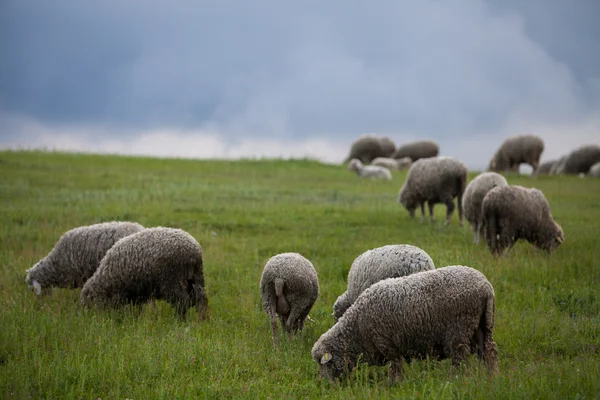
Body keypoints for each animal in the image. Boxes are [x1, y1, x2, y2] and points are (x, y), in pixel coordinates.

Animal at [80, 227, 209, 320]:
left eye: (90, 303)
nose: (88, 318)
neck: (107, 277)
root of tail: (194, 249)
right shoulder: (135, 292)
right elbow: (136, 307)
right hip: (196, 276)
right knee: (201, 299)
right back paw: (202, 319)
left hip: (172, 281)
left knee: (182, 302)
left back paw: (179, 320)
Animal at [312, 266, 500, 382]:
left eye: (324, 364)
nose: (326, 384)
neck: (357, 329)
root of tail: (486, 287)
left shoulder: (386, 343)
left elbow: (395, 367)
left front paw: (393, 384)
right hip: (483, 326)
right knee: (489, 351)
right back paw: (491, 376)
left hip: (459, 329)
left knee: (459, 356)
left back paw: (455, 379)